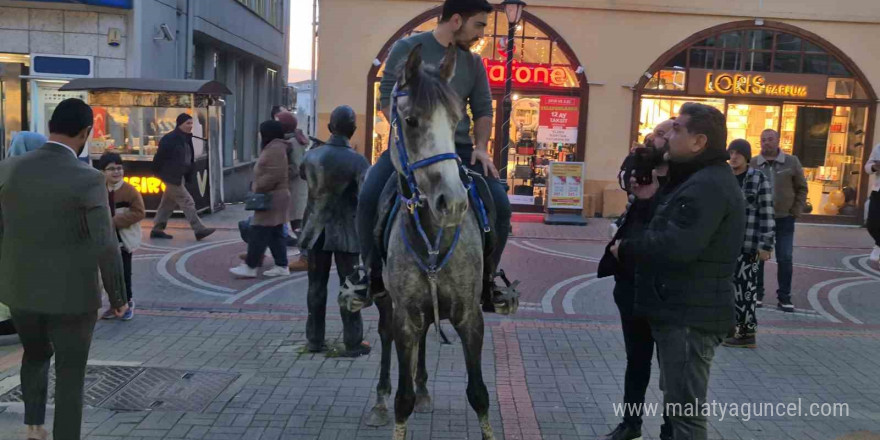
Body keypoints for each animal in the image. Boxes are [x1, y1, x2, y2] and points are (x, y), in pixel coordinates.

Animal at [364, 43, 498, 440]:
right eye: (410, 121)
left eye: (456, 121)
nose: (452, 202)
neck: (434, 236)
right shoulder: (405, 314)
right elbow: (402, 401)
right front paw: (395, 402)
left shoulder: (470, 315)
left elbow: (479, 394)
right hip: (387, 301)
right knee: (385, 336)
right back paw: (379, 400)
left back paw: (424, 388)